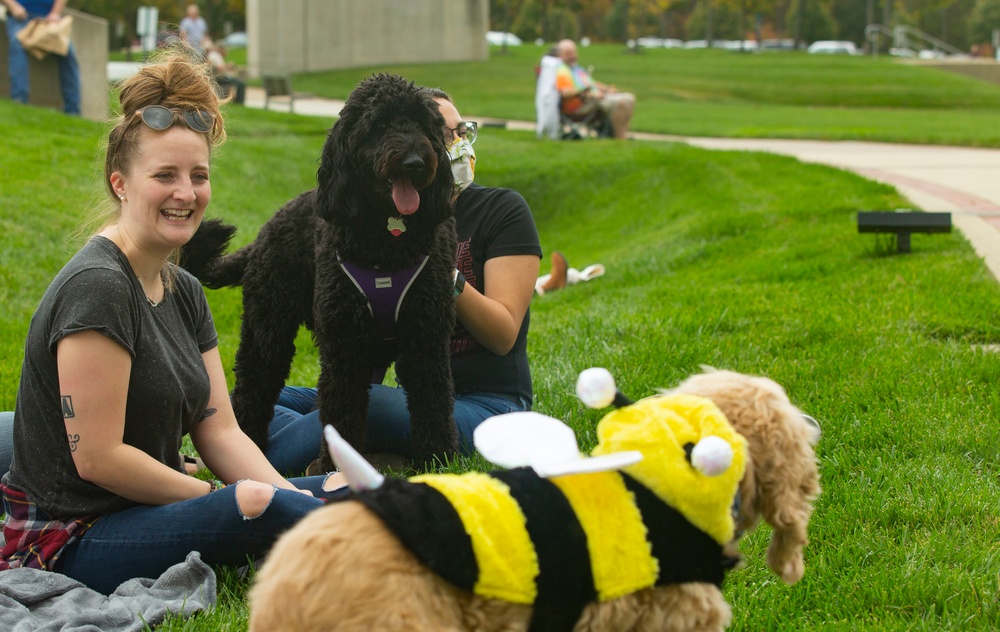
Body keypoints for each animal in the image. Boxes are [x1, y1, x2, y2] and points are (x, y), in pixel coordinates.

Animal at [182, 75, 458, 470]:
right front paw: (336, 466)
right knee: (255, 383)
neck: (387, 245)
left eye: (422, 124)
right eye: (379, 126)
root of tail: (263, 235)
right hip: (268, 328)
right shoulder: (345, 344)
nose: (415, 163)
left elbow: (432, 399)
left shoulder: (427, 336)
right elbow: (341, 409)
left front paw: (438, 462)